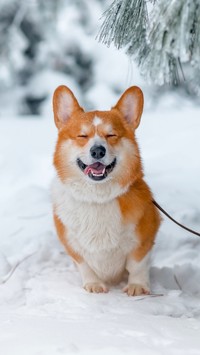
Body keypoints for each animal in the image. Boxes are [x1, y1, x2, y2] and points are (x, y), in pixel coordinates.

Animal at [52, 85, 161, 296]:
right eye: (82, 136)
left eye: (111, 135)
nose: (97, 151)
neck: (97, 198)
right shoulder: (72, 244)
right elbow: (84, 265)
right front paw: (93, 284)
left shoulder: (143, 238)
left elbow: (137, 265)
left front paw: (137, 286)